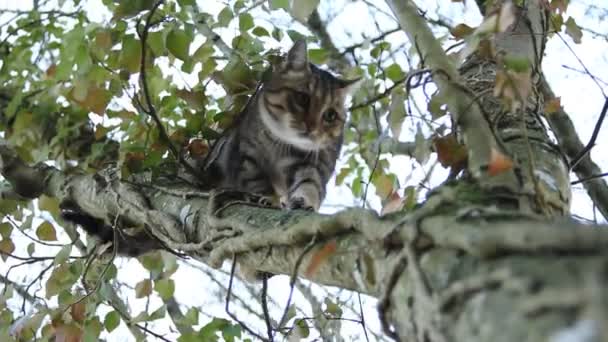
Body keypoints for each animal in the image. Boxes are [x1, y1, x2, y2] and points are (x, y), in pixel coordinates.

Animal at [203, 40, 360, 211]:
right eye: (302, 98)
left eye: (330, 115)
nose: (312, 127)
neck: (282, 147)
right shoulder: (246, 156)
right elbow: (257, 182)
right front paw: (270, 199)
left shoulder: (314, 165)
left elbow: (309, 184)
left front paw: (305, 201)